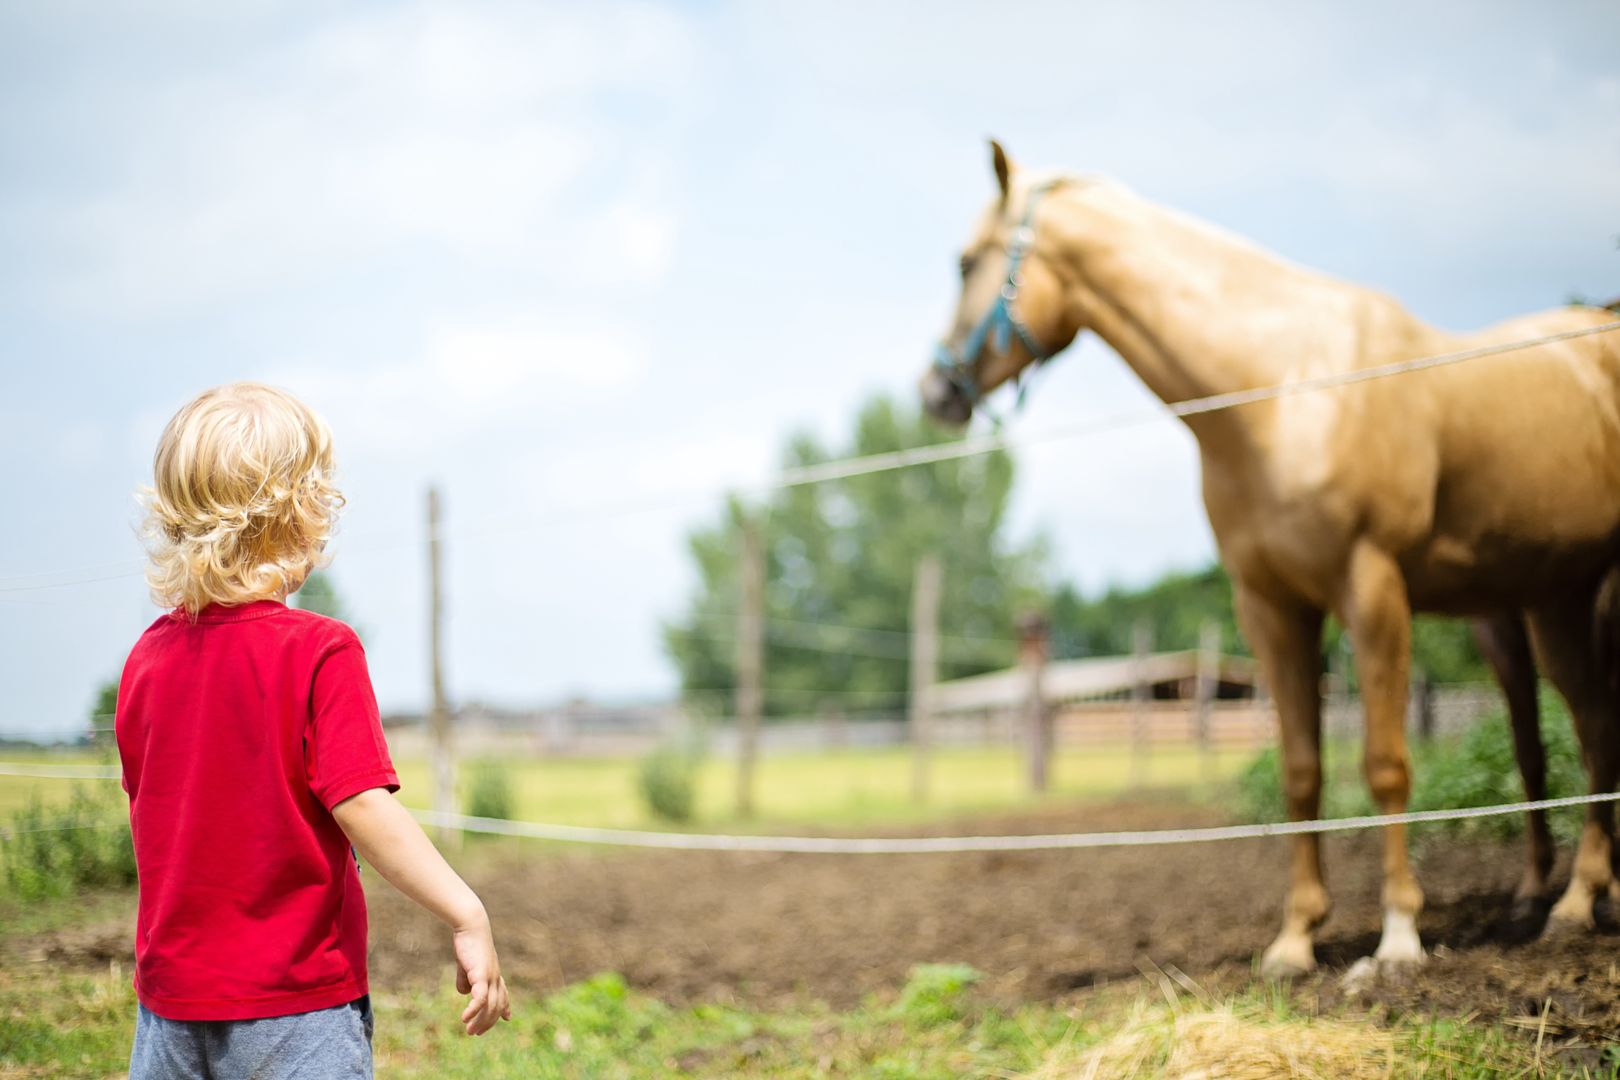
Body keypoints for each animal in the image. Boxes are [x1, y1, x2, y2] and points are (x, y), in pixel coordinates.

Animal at [926, 139, 1620, 977]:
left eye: (966, 262)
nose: (935, 390)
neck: (1282, 389)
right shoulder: (1270, 606)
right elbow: (1300, 770)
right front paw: (1295, 940)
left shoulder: (1372, 590)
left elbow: (1384, 763)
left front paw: (1398, 937)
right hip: (1543, 602)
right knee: (1576, 734)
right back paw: (1569, 895)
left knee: (1594, 731)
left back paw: (1577, 904)